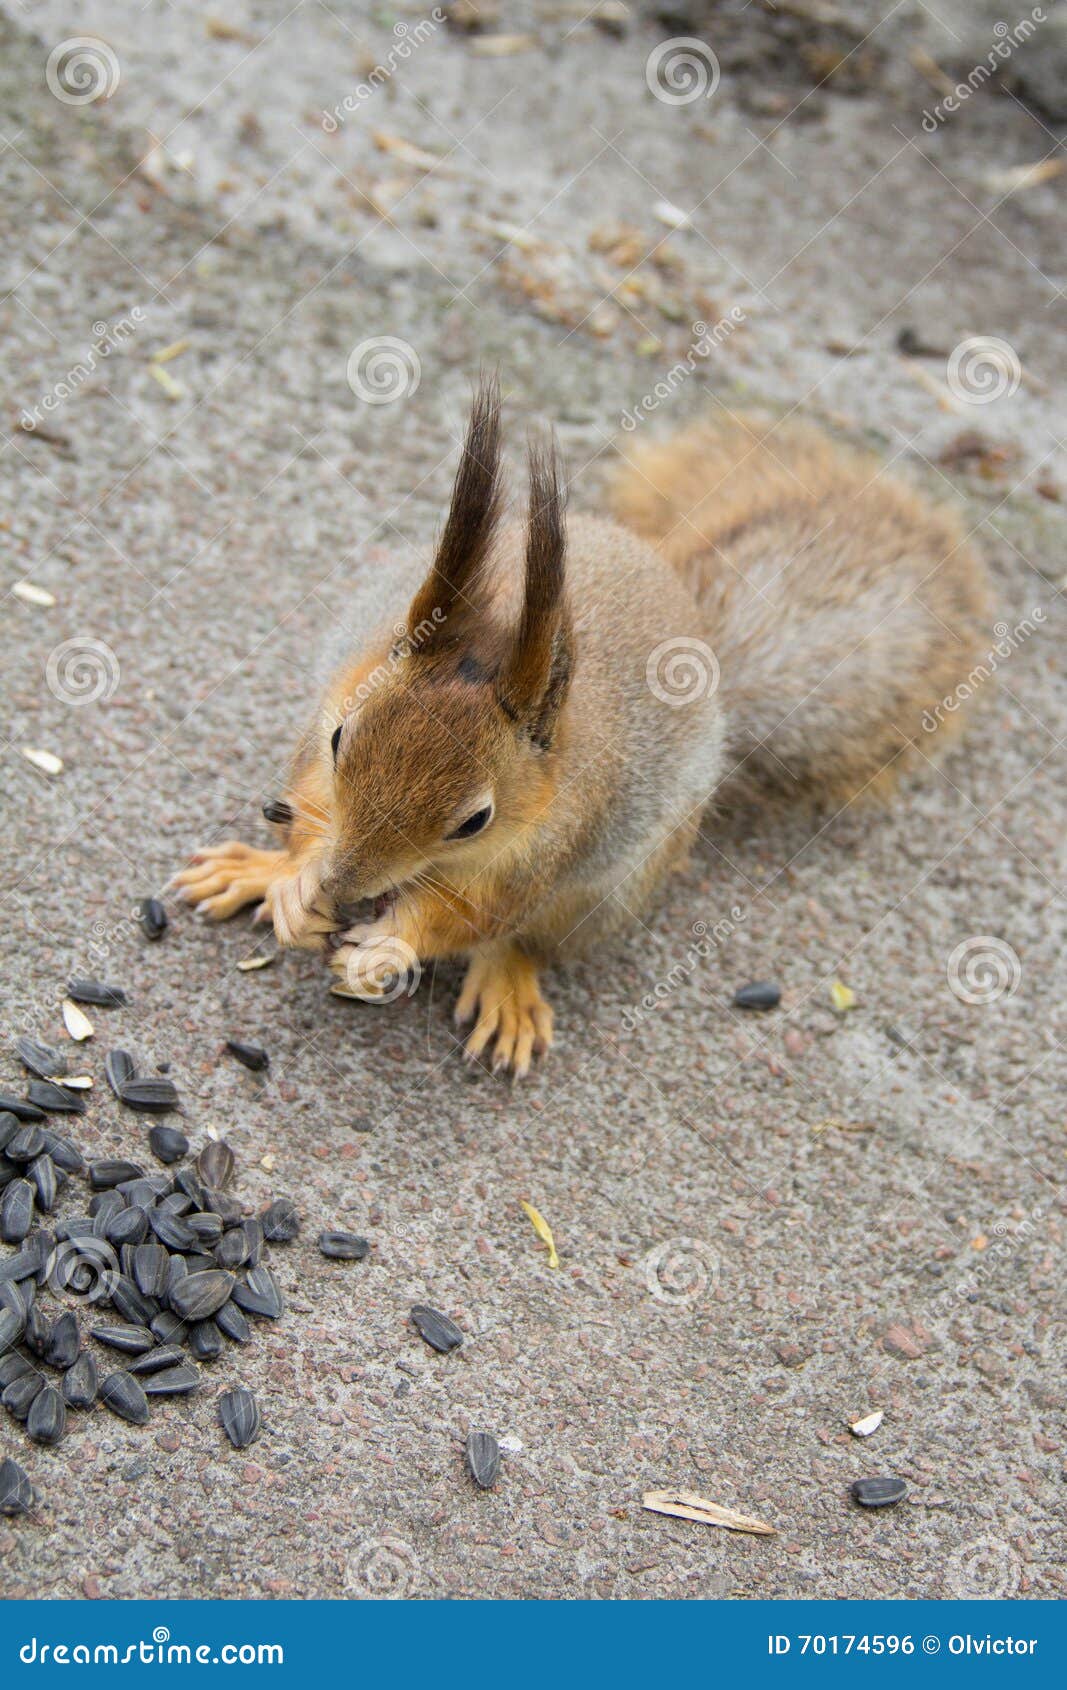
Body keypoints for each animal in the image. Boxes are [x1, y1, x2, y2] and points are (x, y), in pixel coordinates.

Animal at [174, 376, 992, 1076]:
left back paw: (507, 990)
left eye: (475, 820)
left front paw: (383, 951)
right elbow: (313, 812)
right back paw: (256, 871)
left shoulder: (548, 849)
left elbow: (470, 918)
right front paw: (295, 885)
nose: (345, 885)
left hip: (605, 896)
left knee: (526, 944)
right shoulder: (320, 744)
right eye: (342, 737)